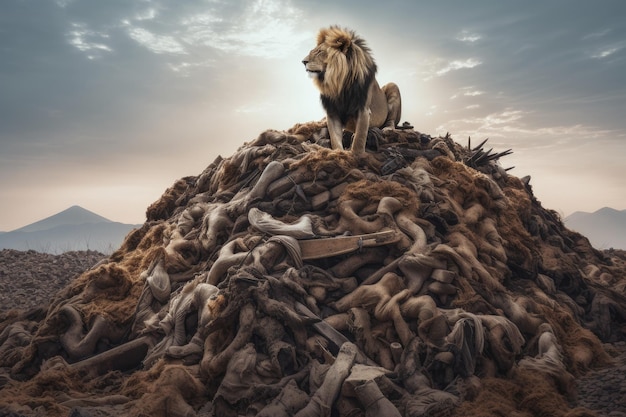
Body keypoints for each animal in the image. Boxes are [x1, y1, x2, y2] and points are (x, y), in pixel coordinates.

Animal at [302, 26, 400, 155]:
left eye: (319, 52)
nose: (303, 61)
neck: (338, 84)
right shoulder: (332, 113)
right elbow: (335, 139)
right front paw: (338, 154)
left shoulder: (363, 110)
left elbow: (360, 138)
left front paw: (356, 155)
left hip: (392, 86)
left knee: (391, 121)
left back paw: (387, 129)